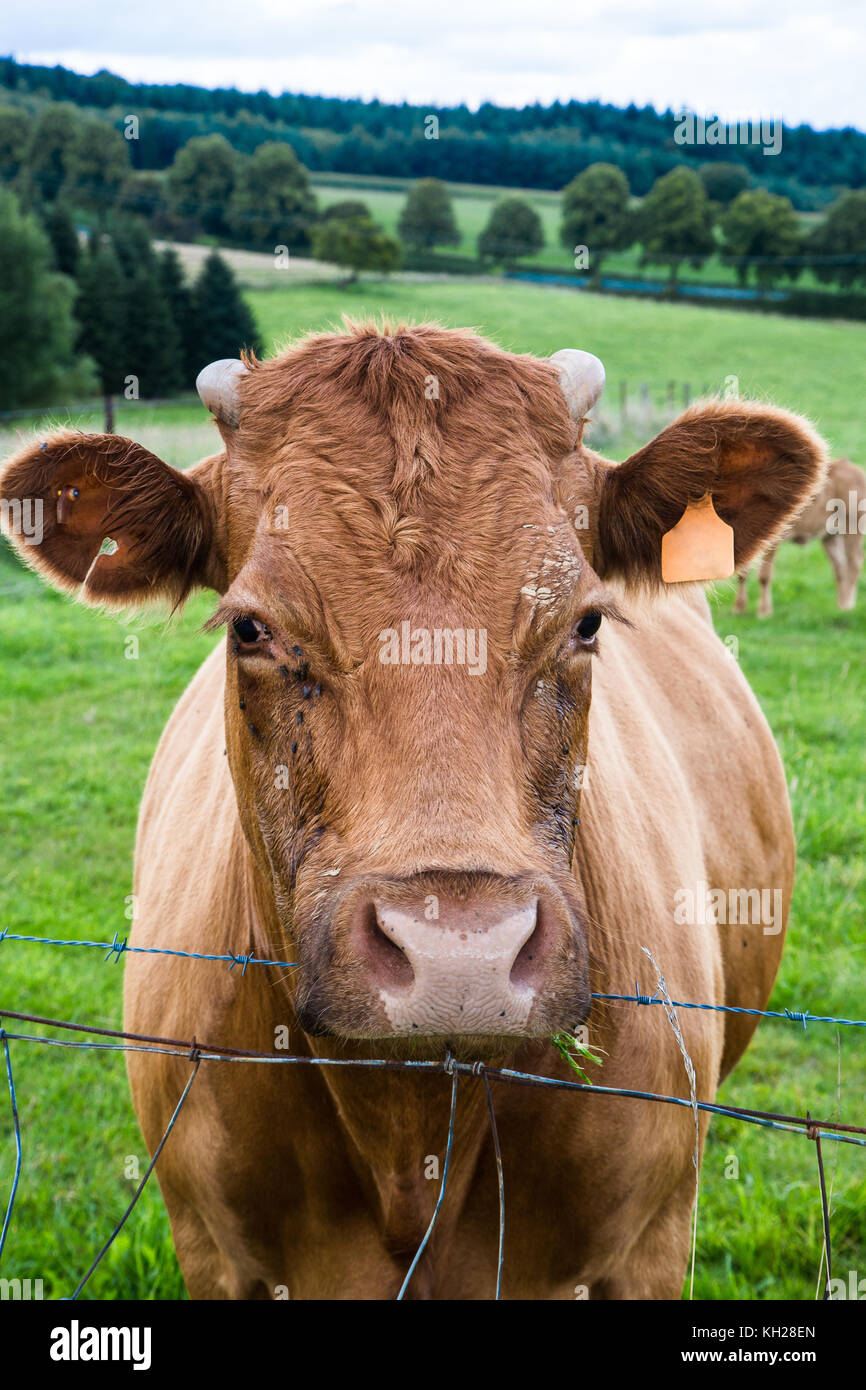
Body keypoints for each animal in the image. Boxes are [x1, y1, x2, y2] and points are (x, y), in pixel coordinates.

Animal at [0, 328, 828, 1301]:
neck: (409, 1134)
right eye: (250, 629)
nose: (456, 954)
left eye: (586, 622)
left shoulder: (653, 1241)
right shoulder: (211, 1247)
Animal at [733, 455, 861, 614]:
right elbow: (742, 573)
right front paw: (739, 609)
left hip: (853, 526)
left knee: (854, 562)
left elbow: (764, 575)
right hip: (830, 535)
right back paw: (841, 605)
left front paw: (764, 611)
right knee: (840, 565)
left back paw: (848, 605)